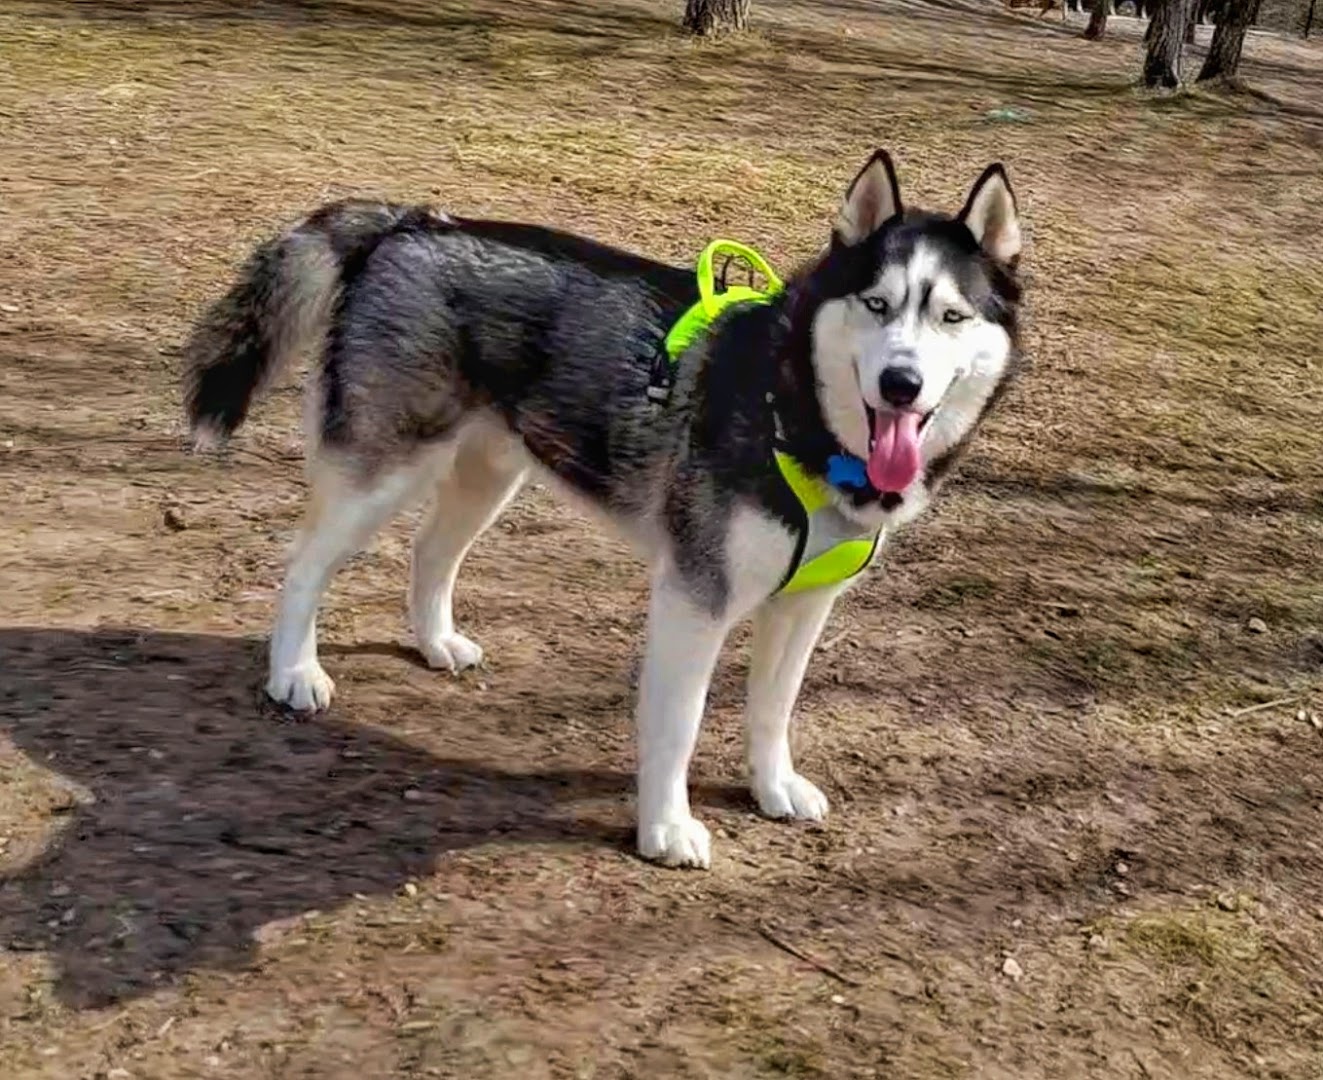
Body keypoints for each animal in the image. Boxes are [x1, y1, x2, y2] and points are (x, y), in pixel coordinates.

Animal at [183, 149, 1021, 868]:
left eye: (950, 317)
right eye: (877, 304)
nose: (900, 384)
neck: (798, 415)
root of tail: (412, 223)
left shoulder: (805, 604)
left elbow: (772, 708)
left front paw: (771, 786)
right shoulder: (695, 599)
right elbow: (678, 724)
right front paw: (665, 828)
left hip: (488, 477)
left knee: (430, 552)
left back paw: (434, 641)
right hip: (382, 472)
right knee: (304, 567)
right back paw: (294, 672)